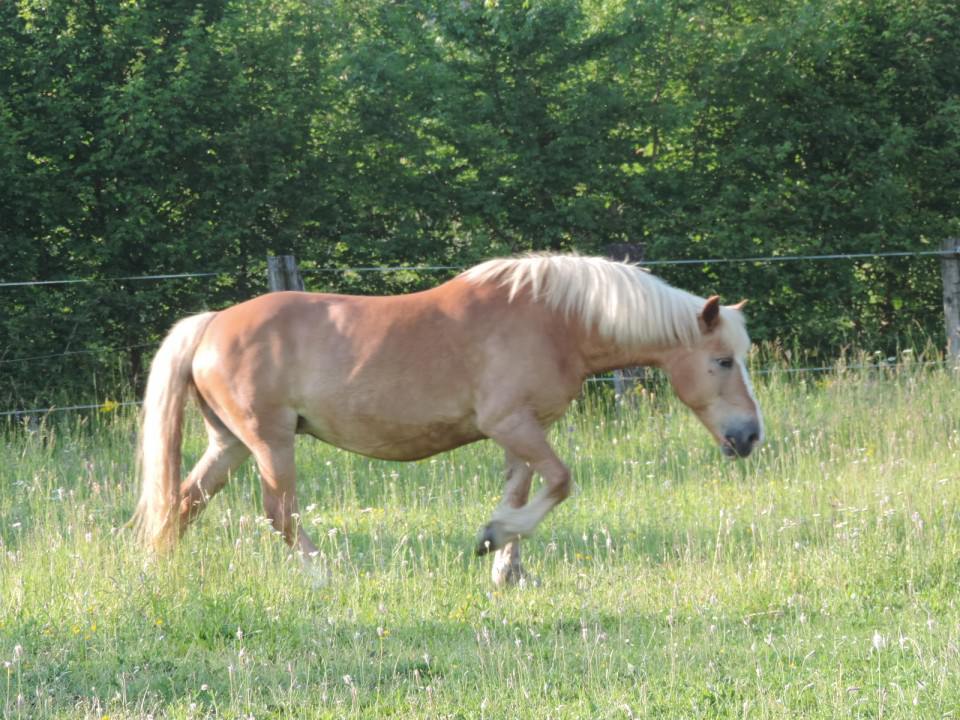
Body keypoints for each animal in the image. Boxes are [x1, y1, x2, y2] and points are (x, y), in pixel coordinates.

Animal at [133, 253, 764, 584]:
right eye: (722, 360)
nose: (750, 436)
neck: (554, 321)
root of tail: (212, 323)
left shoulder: (523, 432)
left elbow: (524, 491)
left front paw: (505, 564)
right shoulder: (512, 424)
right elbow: (560, 482)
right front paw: (493, 541)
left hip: (231, 444)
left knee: (183, 502)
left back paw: (162, 570)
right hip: (269, 441)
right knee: (278, 511)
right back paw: (326, 572)